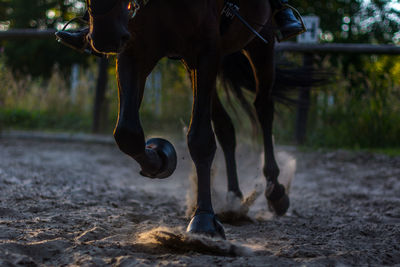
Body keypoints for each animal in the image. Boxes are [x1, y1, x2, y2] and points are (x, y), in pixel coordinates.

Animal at [85, 0, 294, 239]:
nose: (105, 32)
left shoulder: (205, 51)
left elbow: (200, 139)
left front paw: (203, 219)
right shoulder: (134, 49)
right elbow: (127, 133)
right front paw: (161, 157)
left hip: (260, 43)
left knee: (263, 108)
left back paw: (275, 190)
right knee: (225, 126)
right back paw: (233, 199)